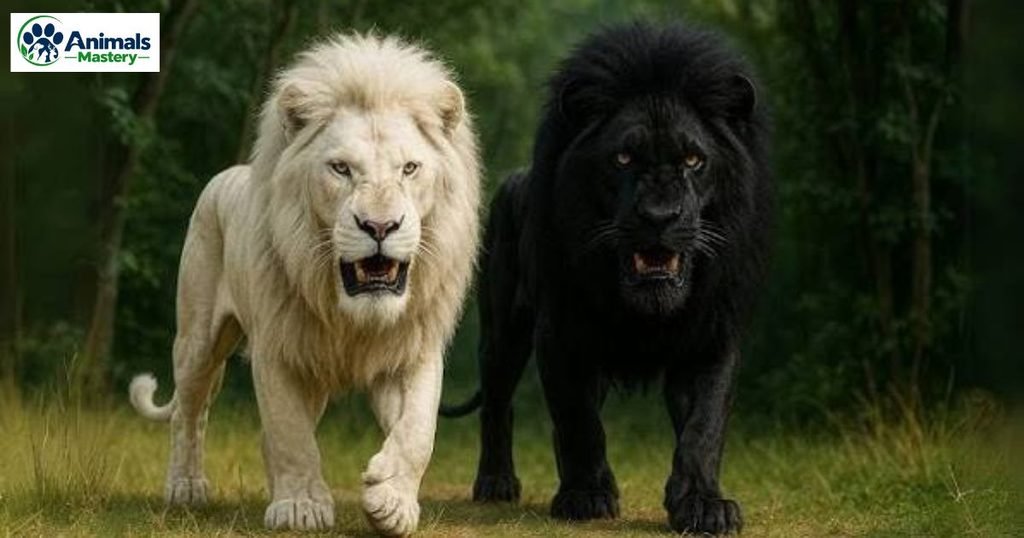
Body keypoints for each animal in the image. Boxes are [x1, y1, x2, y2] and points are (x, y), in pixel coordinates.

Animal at [128, 33, 480, 535]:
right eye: (341, 168)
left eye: (410, 169)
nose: (380, 226)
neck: (349, 310)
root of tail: (228, 174)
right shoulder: (279, 350)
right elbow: (291, 434)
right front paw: (300, 508)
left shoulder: (411, 350)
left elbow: (417, 431)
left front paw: (389, 500)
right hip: (197, 339)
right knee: (189, 412)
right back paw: (186, 488)